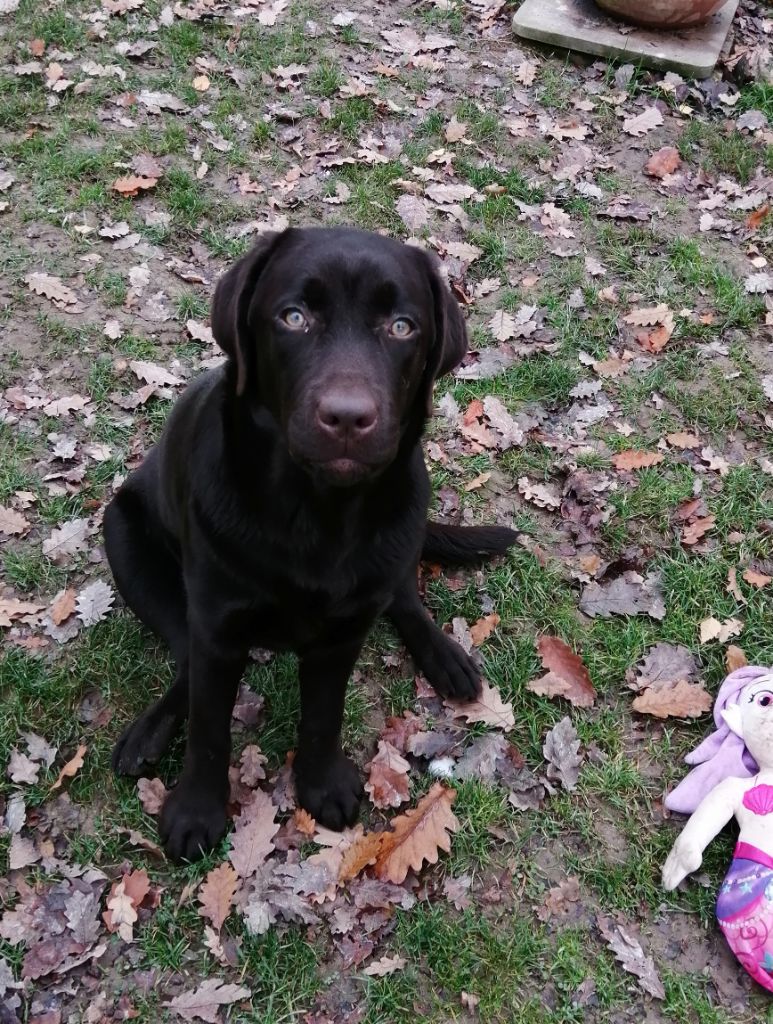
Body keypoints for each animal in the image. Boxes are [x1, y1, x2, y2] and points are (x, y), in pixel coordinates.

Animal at [102, 228, 513, 860]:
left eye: (402, 326)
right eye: (293, 317)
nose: (346, 418)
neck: (315, 514)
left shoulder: (342, 634)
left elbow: (324, 714)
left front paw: (321, 785)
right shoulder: (217, 628)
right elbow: (209, 727)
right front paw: (196, 810)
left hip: (403, 524)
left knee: (403, 595)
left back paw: (444, 656)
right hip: (124, 538)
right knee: (184, 663)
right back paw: (150, 731)